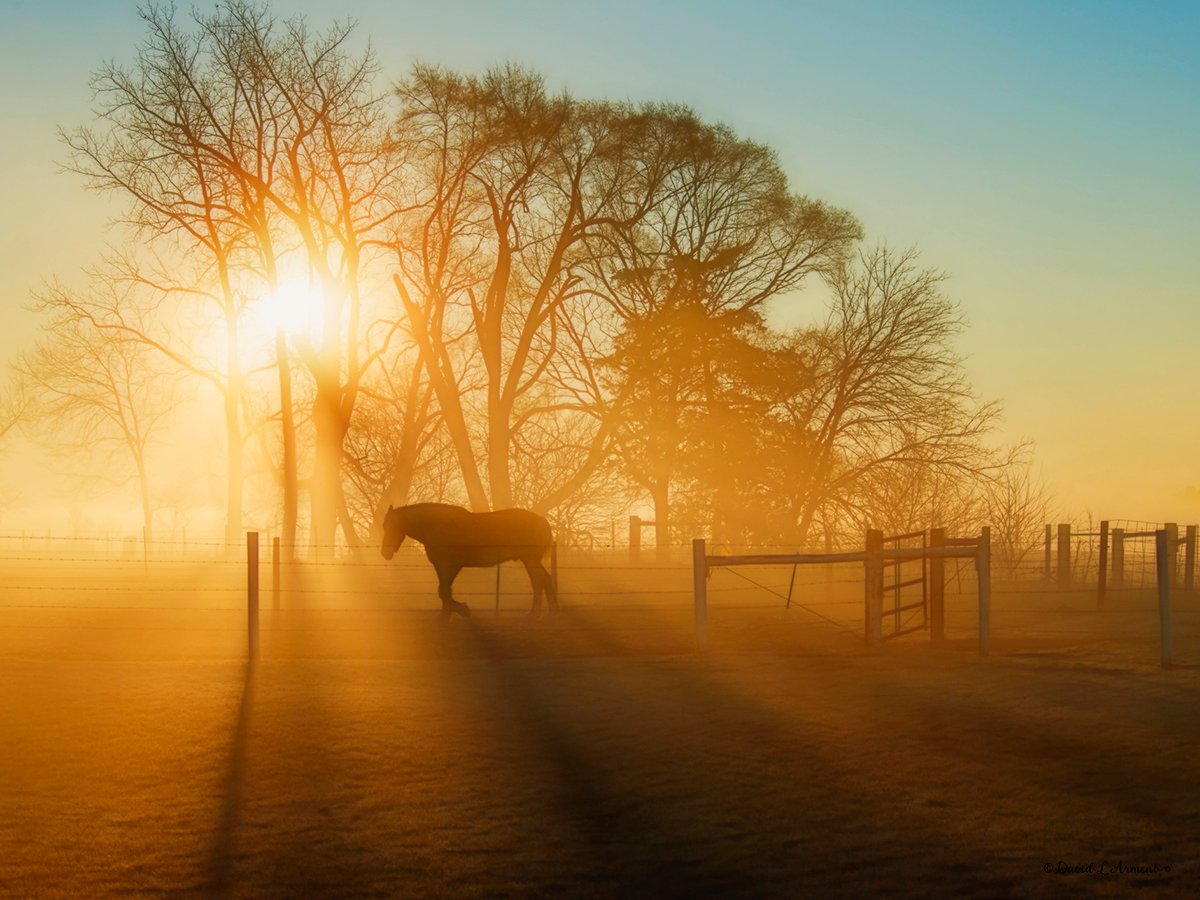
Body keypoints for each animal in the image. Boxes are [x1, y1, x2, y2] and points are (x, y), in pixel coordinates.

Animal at [380, 502, 558, 618]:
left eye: (391, 526)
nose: (384, 553)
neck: (436, 526)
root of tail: (541, 520)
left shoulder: (450, 566)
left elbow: (444, 591)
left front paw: (462, 610)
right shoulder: (442, 566)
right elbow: (445, 590)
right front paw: (445, 615)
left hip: (530, 560)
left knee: (538, 581)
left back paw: (534, 613)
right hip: (531, 560)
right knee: (545, 579)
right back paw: (550, 611)